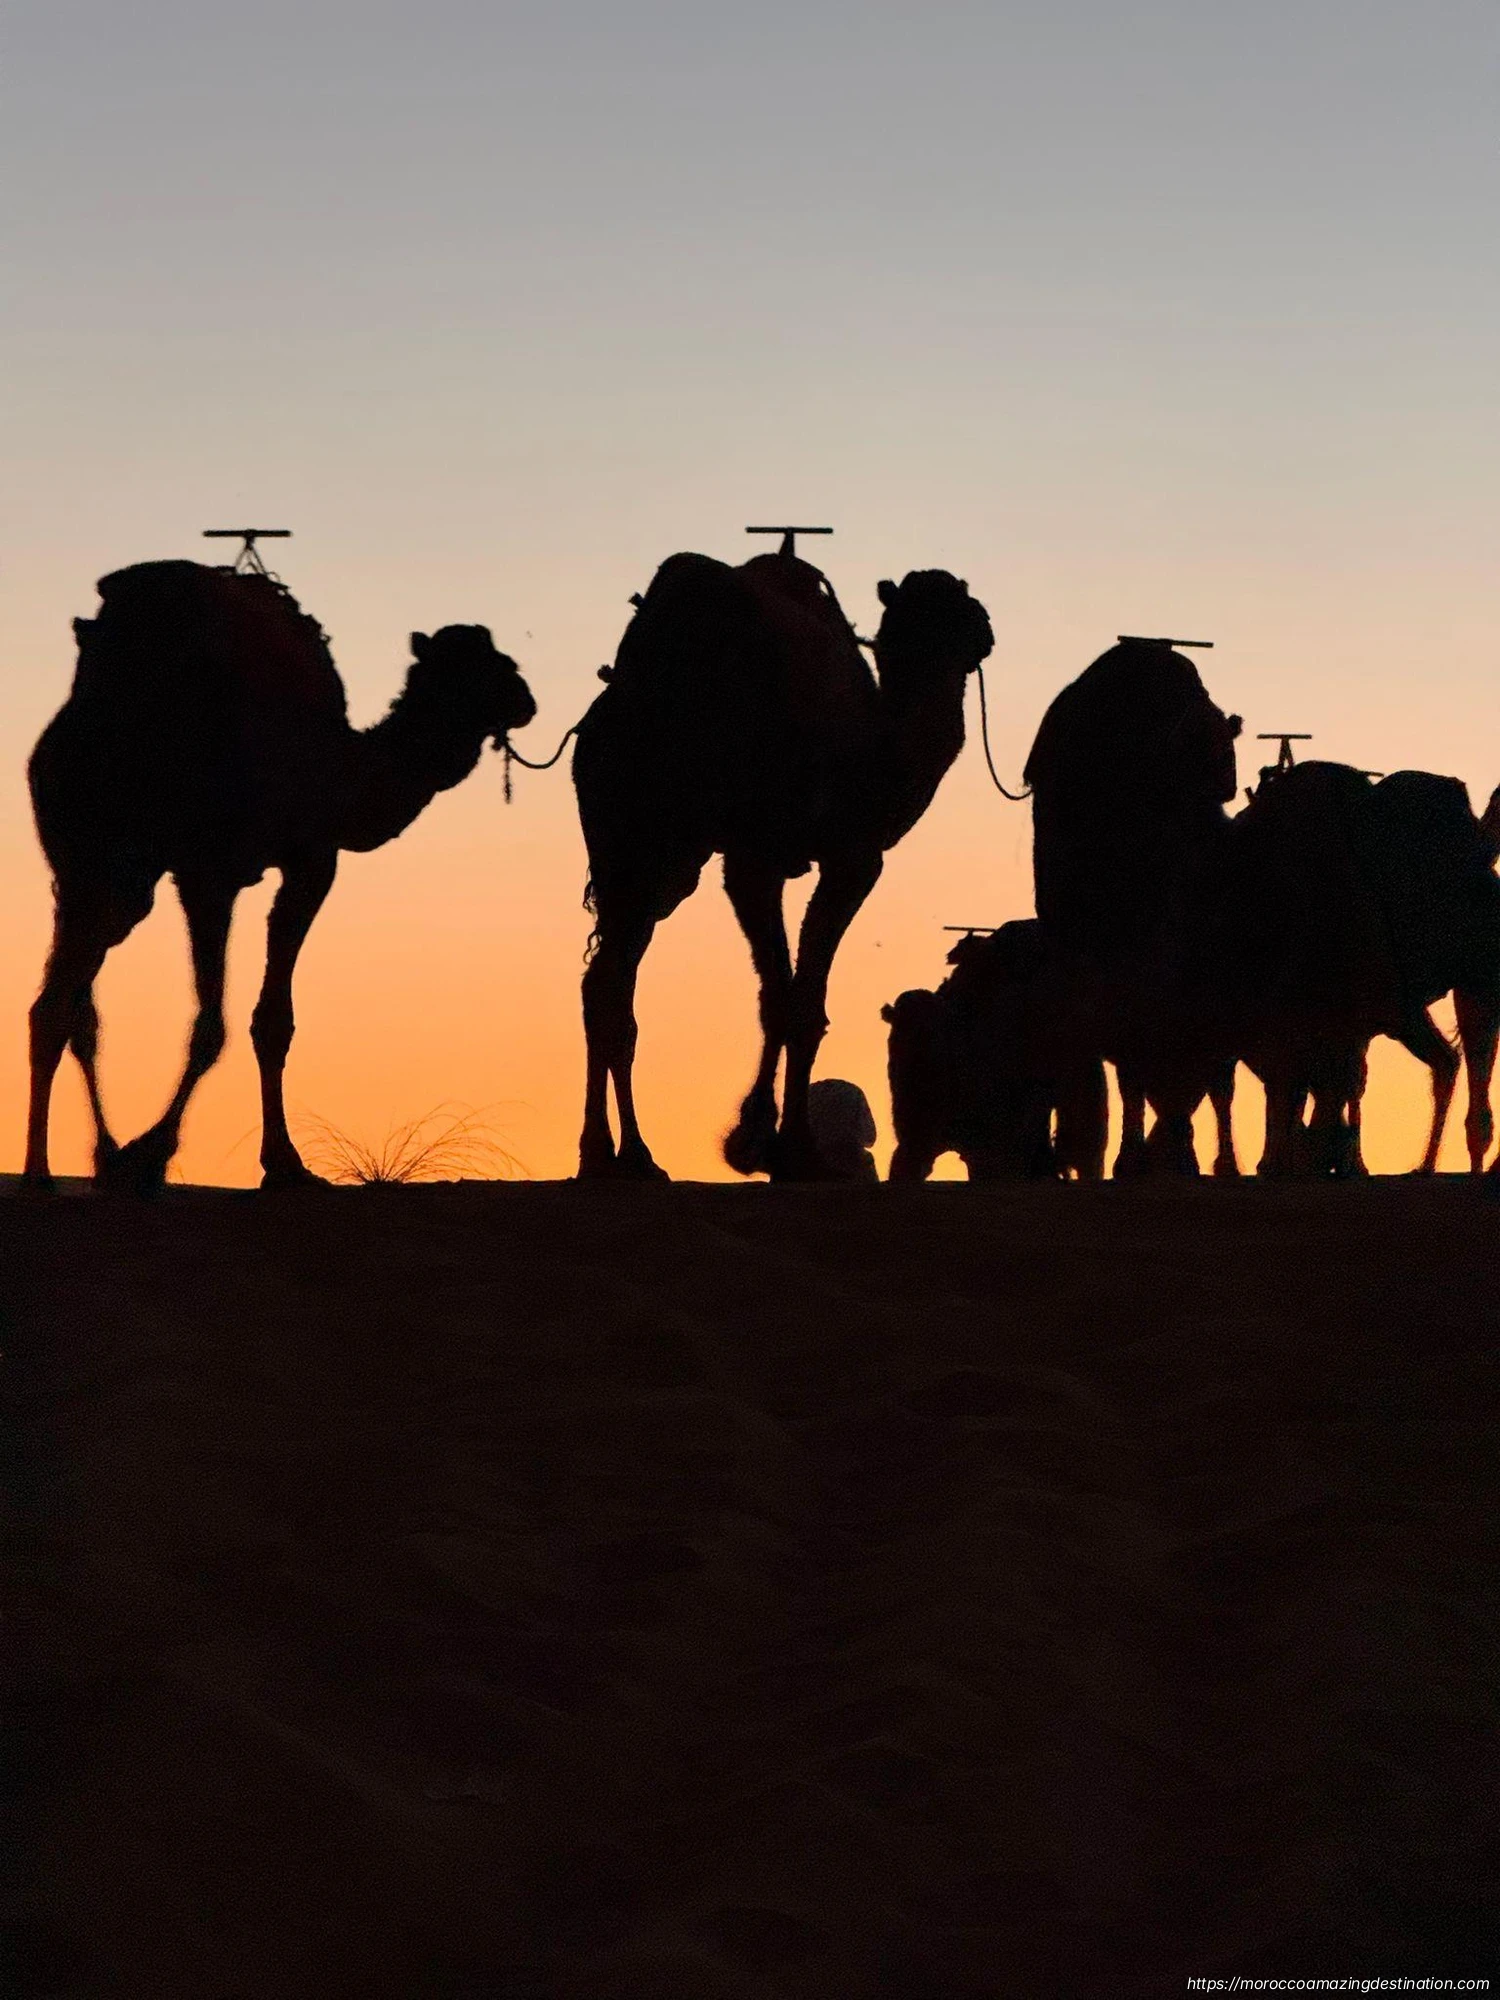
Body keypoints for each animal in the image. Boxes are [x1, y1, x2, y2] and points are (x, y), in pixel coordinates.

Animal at [25, 559, 536, 1193]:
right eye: (491, 668)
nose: (526, 701)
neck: (342, 769)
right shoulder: (276, 864)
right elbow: (235, 1022)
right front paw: (164, 1155)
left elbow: (269, 1023)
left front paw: (279, 1163)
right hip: (145, 864)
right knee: (88, 1004)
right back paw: (88, 1162)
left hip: (92, 868)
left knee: (65, 1006)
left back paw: (69, 1163)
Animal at [572, 549, 994, 1179]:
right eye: (956, 604)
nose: (985, 629)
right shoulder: (836, 856)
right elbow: (796, 999)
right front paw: (779, 1146)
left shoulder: (754, 859)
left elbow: (783, 994)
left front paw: (762, 1141)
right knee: (614, 983)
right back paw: (624, 1156)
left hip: (644, 854)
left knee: (607, 985)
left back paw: (617, 1158)